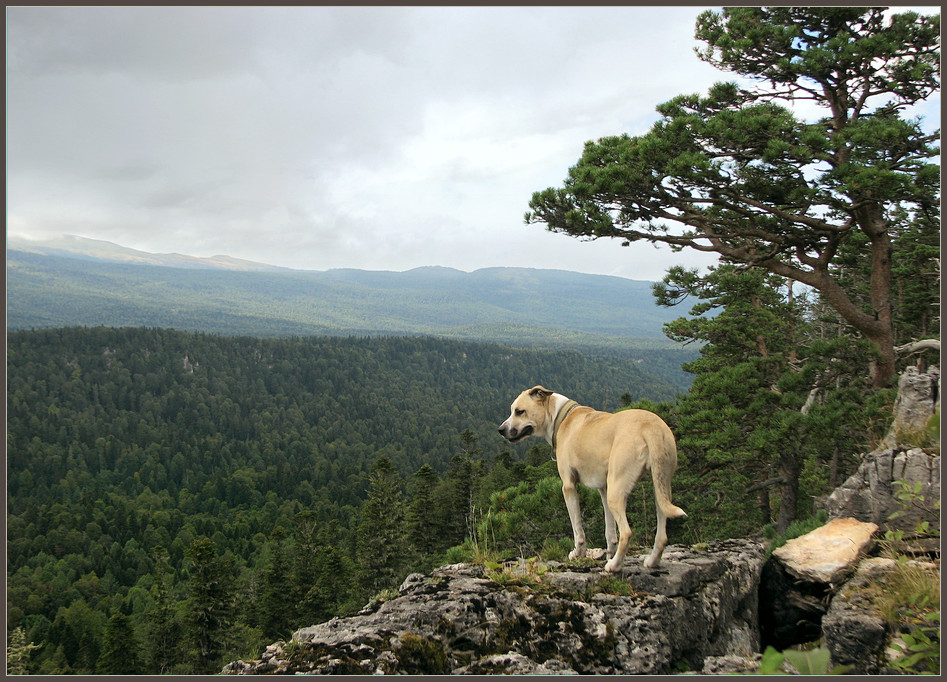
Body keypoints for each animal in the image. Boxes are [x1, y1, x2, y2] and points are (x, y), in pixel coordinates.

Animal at [500, 386, 684, 572]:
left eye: (519, 411)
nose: (501, 430)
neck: (560, 416)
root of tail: (651, 427)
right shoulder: (604, 489)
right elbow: (610, 531)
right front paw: (609, 552)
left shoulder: (568, 487)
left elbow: (577, 528)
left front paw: (578, 553)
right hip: (660, 487)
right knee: (662, 534)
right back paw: (651, 561)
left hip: (617, 491)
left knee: (626, 532)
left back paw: (614, 565)